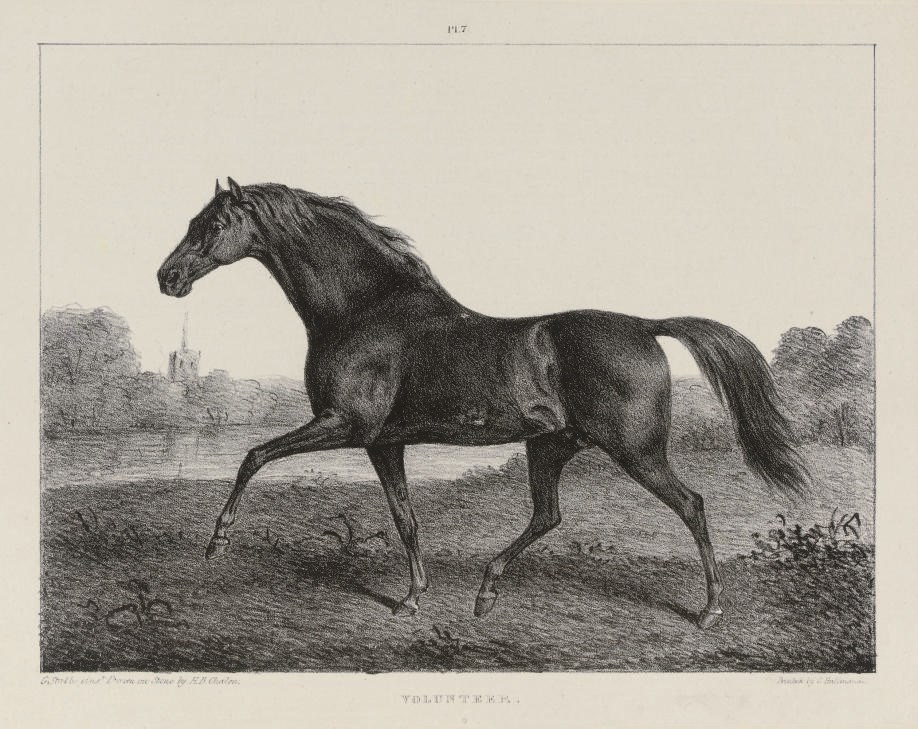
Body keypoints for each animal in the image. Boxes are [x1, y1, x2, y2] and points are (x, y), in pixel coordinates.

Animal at [157, 178, 809, 629]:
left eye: (214, 224)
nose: (168, 278)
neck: (366, 310)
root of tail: (646, 326)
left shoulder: (343, 424)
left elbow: (254, 455)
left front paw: (218, 541)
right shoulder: (383, 443)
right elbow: (406, 518)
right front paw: (412, 599)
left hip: (636, 451)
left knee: (692, 505)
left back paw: (709, 612)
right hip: (550, 445)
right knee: (548, 515)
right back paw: (486, 590)